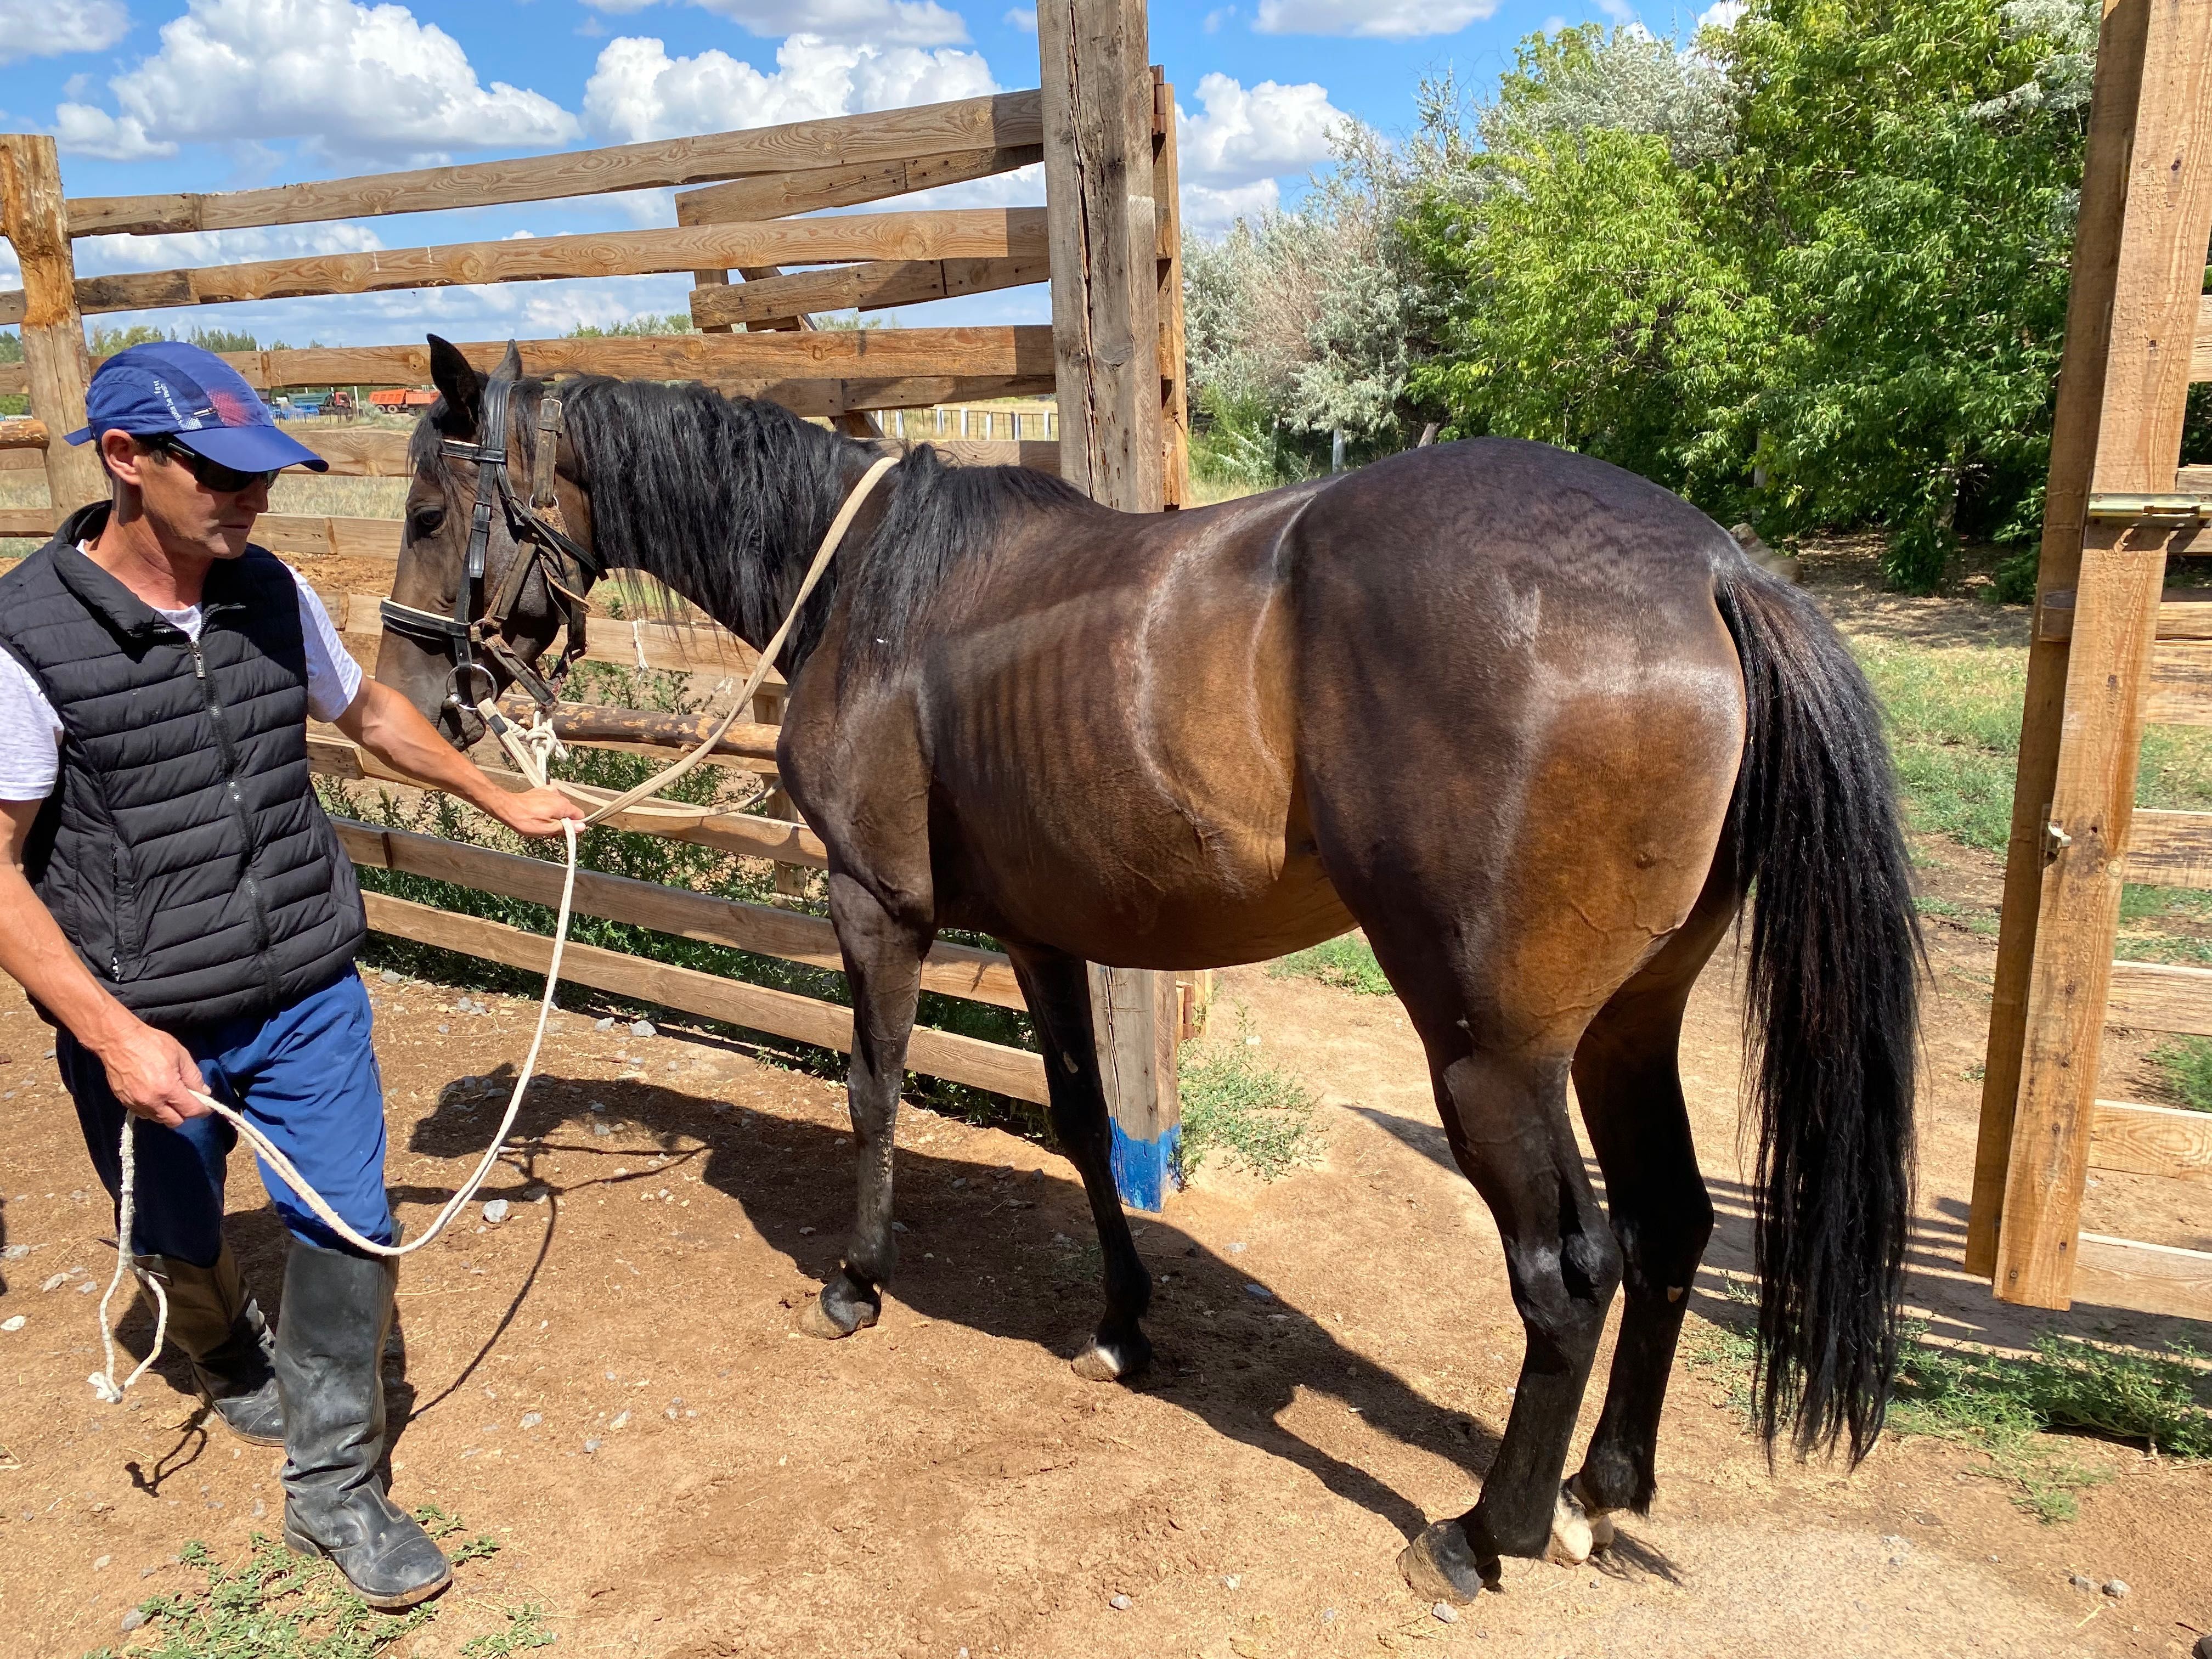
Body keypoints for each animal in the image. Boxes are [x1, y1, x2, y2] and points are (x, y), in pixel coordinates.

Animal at [371, 338, 1911, 1601]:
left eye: (429, 512)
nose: (414, 698)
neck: (875, 589)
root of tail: (1713, 571)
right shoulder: (1041, 934)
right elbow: (1079, 1123)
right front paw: (1120, 1325)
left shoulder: (878, 910)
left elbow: (874, 1093)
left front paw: (856, 1283)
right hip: (1627, 1029)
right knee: (1671, 1227)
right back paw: (1603, 1490)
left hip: (1495, 1054)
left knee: (1569, 1273)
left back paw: (1486, 1536)